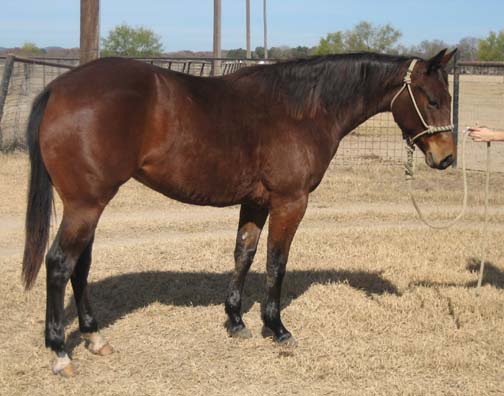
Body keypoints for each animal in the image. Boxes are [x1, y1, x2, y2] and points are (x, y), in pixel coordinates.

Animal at [22, 48, 456, 374]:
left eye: (448, 99)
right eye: (432, 100)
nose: (447, 159)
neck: (301, 109)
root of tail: (59, 88)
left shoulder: (256, 202)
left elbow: (243, 254)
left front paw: (235, 321)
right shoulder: (290, 202)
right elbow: (276, 263)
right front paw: (276, 328)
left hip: (89, 205)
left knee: (80, 265)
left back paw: (94, 337)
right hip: (86, 205)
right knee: (60, 264)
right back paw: (60, 352)